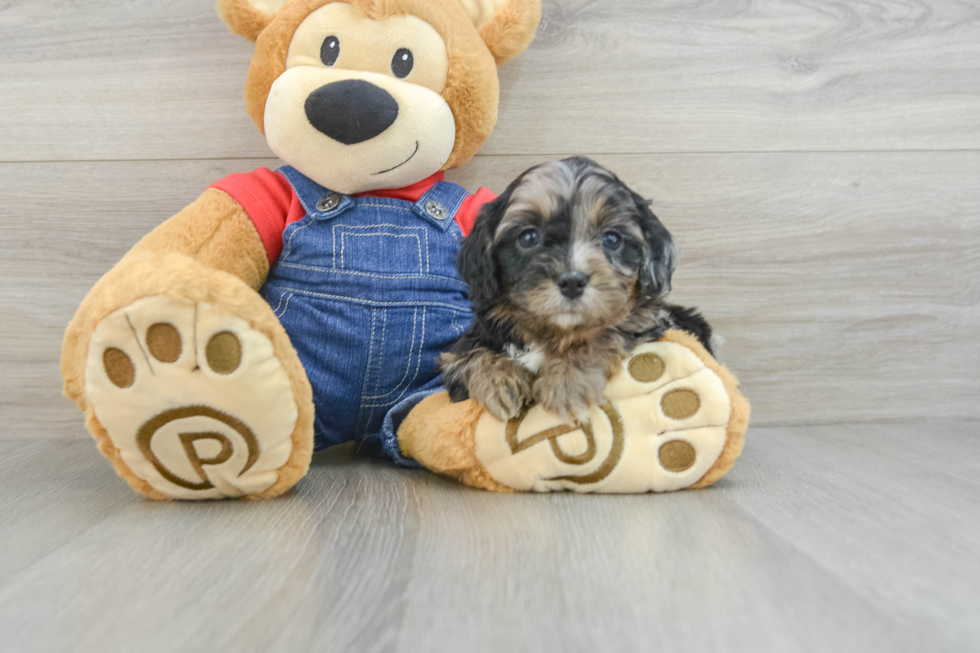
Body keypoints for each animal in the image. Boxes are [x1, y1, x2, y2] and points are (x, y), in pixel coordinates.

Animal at [438, 157, 712, 422]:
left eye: (612, 239)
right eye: (528, 237)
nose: (572, 282)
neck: (553, 332)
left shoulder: (648, 323)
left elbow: (609, 330)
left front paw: (566, 382)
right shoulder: (466, 347)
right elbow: (469, 355)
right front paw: (502, 384)